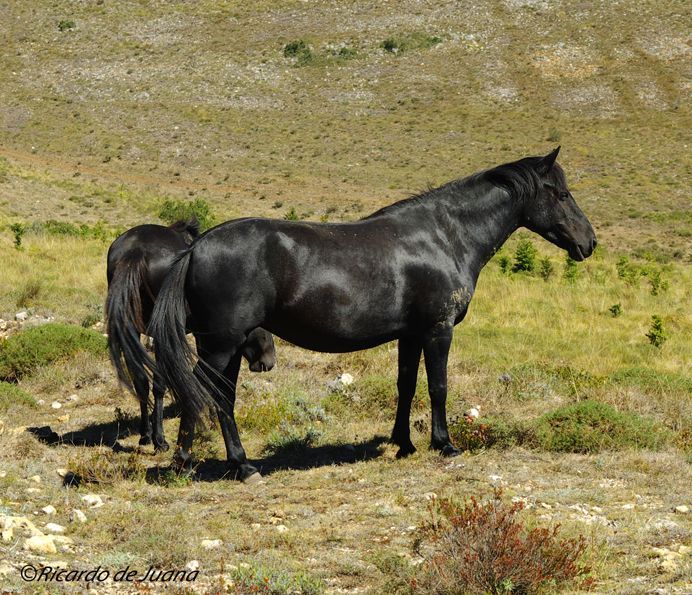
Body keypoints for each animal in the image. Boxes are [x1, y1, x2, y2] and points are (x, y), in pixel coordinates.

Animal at [104, 220, 274, 452]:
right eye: (263, 327)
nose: (269, 361)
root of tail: (135, 251)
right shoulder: (206, 338)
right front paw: (211, 419)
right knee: (158, 384)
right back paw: (160, 440)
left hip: (132, 329)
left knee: (141, 381)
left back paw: (146, 435)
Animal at [134, 148, 596, 480]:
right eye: (561, 193)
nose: (589, 242)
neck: (444, 236)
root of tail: (196, 248)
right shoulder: (438, 330)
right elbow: (439, 387)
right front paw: (444, 443)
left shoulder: (410, 334)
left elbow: (407, 386)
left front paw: (403, 443)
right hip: (221, 345)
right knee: (205, 393)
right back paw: (196, 461)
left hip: (227, 347)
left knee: (220, 397)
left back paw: (234, 462)